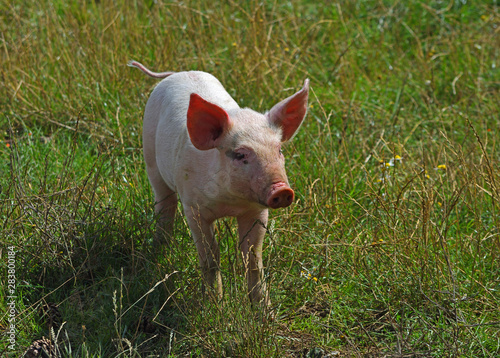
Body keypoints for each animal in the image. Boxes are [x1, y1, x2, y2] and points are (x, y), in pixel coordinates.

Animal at [129, 61, 308, 304]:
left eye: (279, 150)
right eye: (240, 155)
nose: (282, 190)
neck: (230, 203)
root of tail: (179, 73)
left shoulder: (257, 211)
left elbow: (253, 260)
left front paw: (264, 309)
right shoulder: (193, 207)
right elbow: (210, 257)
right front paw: (214, 305)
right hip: (150, 158)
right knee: (164, 205)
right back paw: (159, 249)